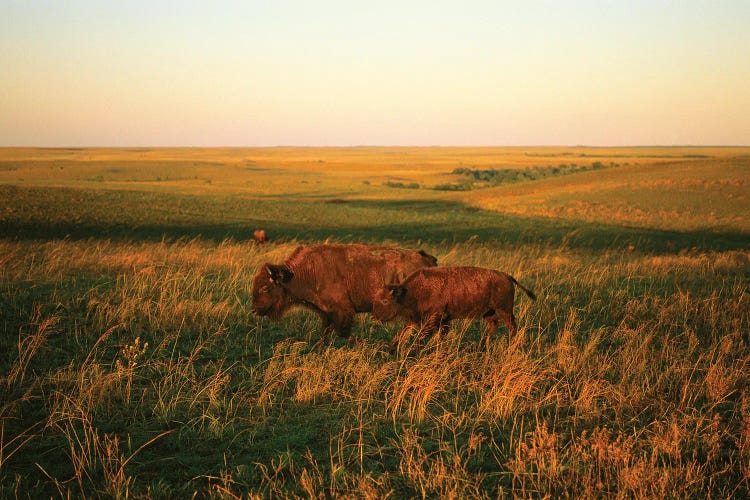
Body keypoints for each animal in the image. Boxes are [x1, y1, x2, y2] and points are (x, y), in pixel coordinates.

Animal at [253, 244, 440, 342]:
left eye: (265, 288)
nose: (254, 310)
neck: (304, 271)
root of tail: (426, 259)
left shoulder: (342, 312)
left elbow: (344, 334)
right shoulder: (326, 314)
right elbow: (324, 334)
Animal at [374, 266, 536, 348]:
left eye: (385, 301)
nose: (376, 317)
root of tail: (507, 276)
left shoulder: (433, 319)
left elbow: (422, 337)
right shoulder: (428, 320)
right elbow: (402, 334)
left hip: (504, 310)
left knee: (511, 326)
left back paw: (511, 345)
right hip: (489, 312)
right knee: (493, 325)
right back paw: (482, 346)